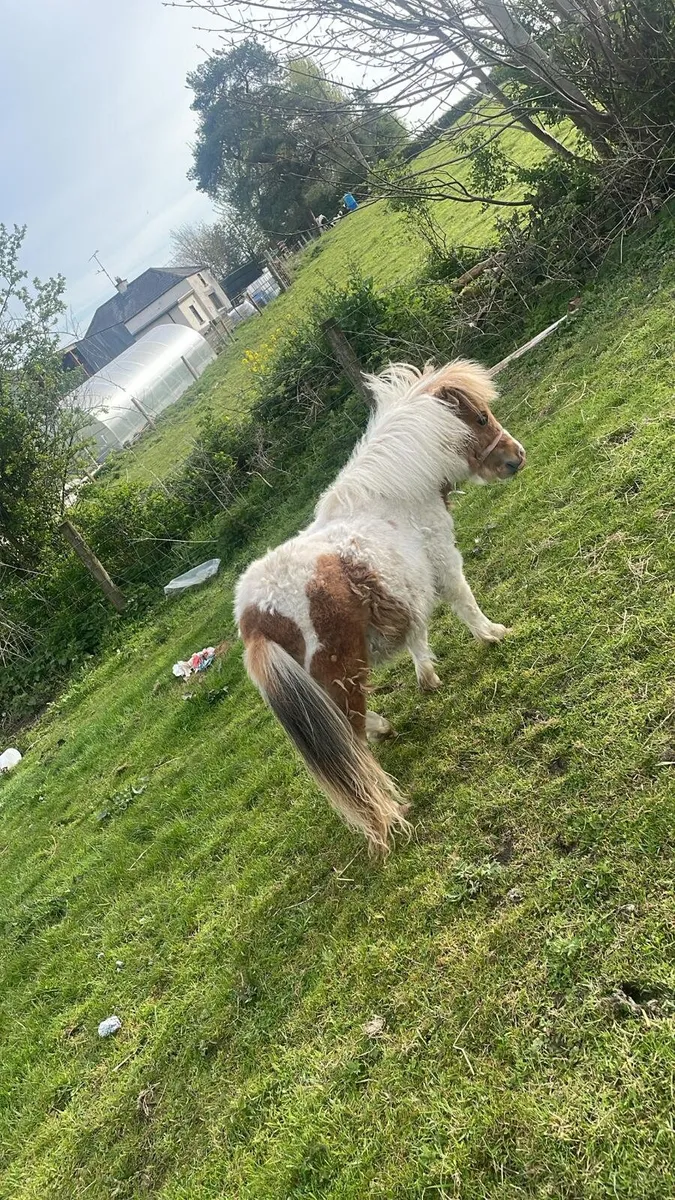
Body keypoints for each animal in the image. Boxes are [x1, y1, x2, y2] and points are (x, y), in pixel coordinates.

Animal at [234, 359, 526, 855]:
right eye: (482, 417)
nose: (515, 458)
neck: (395, 495)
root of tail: (258, 619)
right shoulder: (443, 561)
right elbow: (463, 601)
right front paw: (493, 635)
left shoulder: (407, 588)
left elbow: (416, 630)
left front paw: (427, 675)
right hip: (341, 678)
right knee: (352, 744)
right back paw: (389, 804)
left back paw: (385, 729)